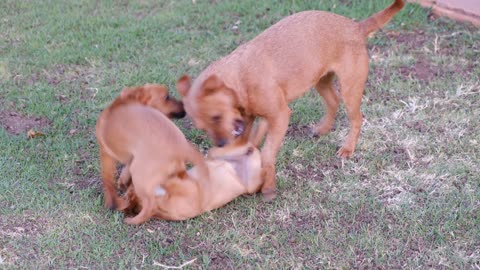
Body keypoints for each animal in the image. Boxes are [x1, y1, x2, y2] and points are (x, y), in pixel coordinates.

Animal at [96, 85, 210, 226]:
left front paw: (112, 201)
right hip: (175, 172)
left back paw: (133, 218)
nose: (184, 106)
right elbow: (124, 170)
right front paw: (123, 182)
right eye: (166, 97)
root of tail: (181, 147)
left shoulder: (105, 154)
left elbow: (107, 180)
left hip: (139, 175)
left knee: (150, 203)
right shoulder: (132, 157)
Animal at [176, 0, 404, 200]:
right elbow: (253, 142)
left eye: (216, 117)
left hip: (350, 89)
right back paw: (323, 129)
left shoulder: (279, 116)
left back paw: (348, 149)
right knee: (333, 101)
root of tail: (355, 26)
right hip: (321, 81)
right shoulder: (258, 119)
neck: (240, 77)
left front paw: (267, 186)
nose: (221, 144)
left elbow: (267, 153)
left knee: (356, 118)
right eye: (202, 127)